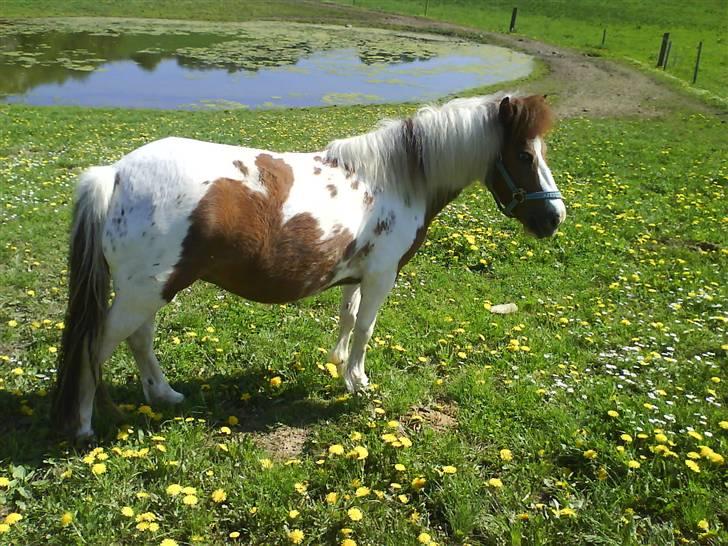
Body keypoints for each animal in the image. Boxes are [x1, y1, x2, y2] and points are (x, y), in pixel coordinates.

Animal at [52, 91, 564, 436]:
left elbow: (348, 317)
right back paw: (83, 426)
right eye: (523, 155)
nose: (554, 218)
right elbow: (366, 329)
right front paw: (357, 383)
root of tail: (115, 174)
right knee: (97, 346)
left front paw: (338, 365)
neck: (394, 179)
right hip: (145, 291)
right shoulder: (381, 276)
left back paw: (164, 395)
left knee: (139, 340)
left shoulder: (356, 275)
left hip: (152, 288)